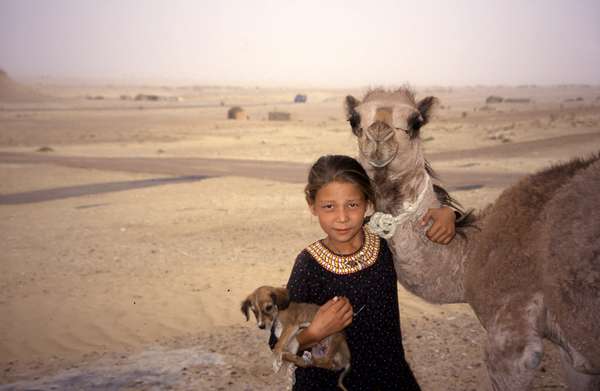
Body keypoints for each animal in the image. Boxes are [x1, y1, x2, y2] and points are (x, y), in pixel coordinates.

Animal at [342, 89, 600, 391]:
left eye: (416, 122)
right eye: (354, 120)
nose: (379, 137)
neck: (472, 252)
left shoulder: (512, 341)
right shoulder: (575, 356)